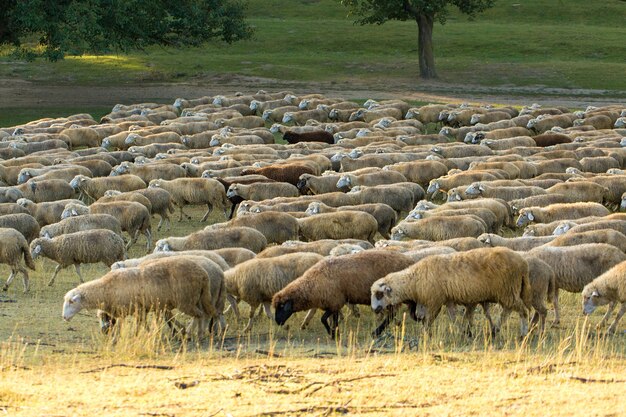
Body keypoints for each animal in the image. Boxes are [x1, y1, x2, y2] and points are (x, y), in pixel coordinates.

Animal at [61, 255, 225, 340]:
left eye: (71, 301)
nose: (64, 317)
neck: (106, 289)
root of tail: (203, 274)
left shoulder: (136, 309)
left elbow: (138, 325)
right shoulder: (138, 310)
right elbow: (140, 325)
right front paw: (146, 334)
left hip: (187, 300)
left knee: (201, 315)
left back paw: (196, 334)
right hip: (198, 298)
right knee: (205, 314)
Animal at [272, 249, 414, 336]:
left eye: (281, 306)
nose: (277, 322)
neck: (312, 283)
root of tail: (409, 261)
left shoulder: (335, 301)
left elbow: (324, 319)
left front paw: (333, 334)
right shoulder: (332, 303)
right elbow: (331, 319)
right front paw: (335, 333)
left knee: (392, 314)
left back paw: (376, 332)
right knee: (393, 313)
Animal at [370, 245, 532, 336]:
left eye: (379, 294)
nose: (374, 309)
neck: (414, 280)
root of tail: (523, 263)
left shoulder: (435, 301)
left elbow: (429, 320)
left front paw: (424, 334)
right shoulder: (447, 300)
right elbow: (453, 317)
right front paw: (462, 331)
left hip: (508, 290)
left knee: (522, 311)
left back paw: (523, 333)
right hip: (507, 292)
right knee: (507, 311)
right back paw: (496, 330)